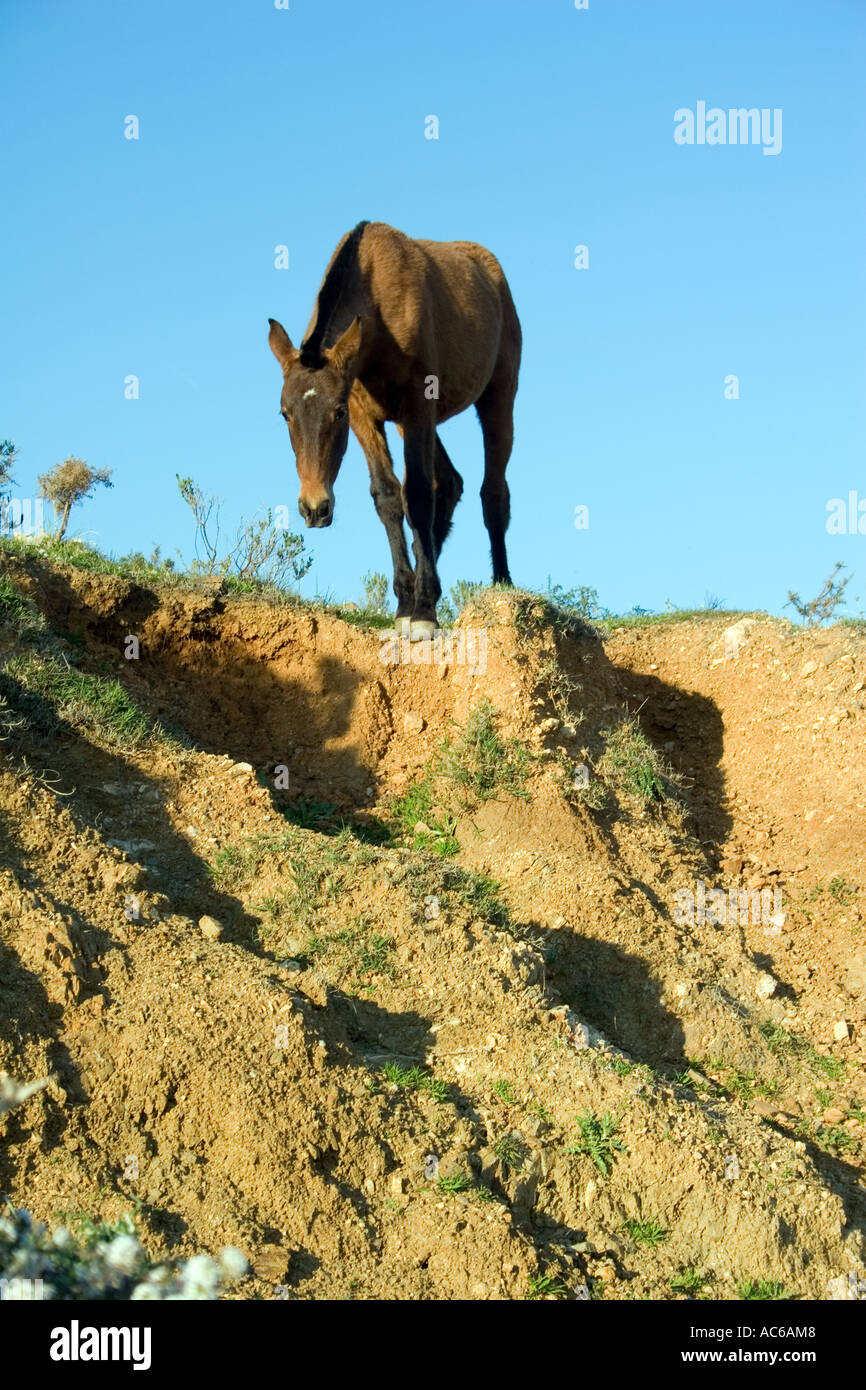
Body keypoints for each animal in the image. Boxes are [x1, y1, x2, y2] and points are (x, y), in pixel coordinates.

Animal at [268, 220, 521, 640]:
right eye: (285, 413)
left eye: (336, 412)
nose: (314, 507)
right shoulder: (368, 415)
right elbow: (388, 496)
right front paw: (407, 603)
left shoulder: (416, 405)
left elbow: (416, 495)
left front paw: (424, 612)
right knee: (449, 483)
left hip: (498, 397)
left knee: (493, 492)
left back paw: (503, 584)